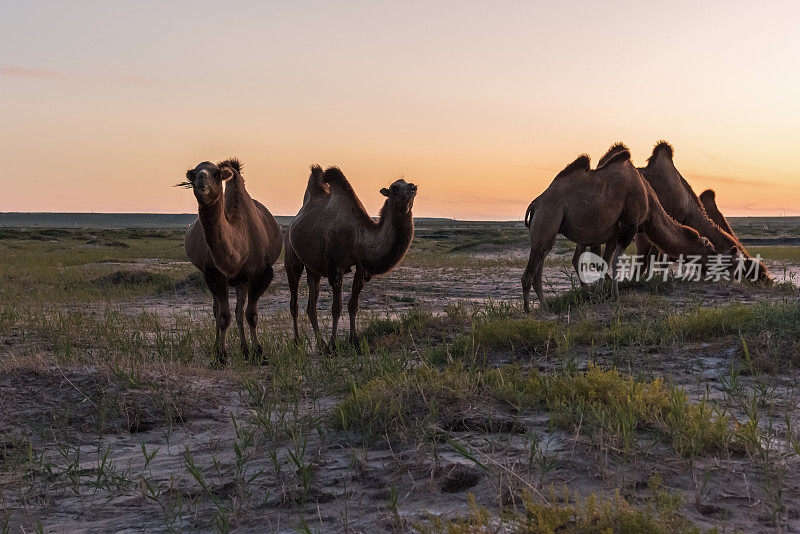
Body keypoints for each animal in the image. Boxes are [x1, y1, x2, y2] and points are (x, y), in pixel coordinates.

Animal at [179, 159, 284, 366]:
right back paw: (220, 347)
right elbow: (223, 316)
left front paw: (259, 354)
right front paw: (220, 356)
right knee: (218, 309)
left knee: (239, 311)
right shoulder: (214, 274)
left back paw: (245, 351)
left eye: (217, 174)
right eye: (194, 173)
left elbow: (251, 315)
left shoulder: (260, 274)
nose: (201, 178)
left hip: (242, 281)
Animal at [284, 168, 418, 352]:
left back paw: (320, 343)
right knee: (294, 302)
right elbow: (336, 308)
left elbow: (353, 305)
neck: (357, 237)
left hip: (313, 268)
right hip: (292, 257)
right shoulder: (335, 267)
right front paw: (334, 344)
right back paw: (298, 342)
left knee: (312, 305)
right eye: (395, 188)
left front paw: (354, 341)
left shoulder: (362, 268)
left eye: (406, 182)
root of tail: (292, 224)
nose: (413, 187)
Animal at [520, 147, 716, 314]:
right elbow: (615, 262)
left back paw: (545, 307)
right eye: (711, 250)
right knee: (530, 271)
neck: (649, 202)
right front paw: (615, 295)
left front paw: (600, 294)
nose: (710, 270)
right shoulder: (629, 225)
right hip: (549, 216)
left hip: (546, 230)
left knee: (540, 265)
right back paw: (528, 311)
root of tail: (537, 202)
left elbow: (605, 262)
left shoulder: (613, 233)